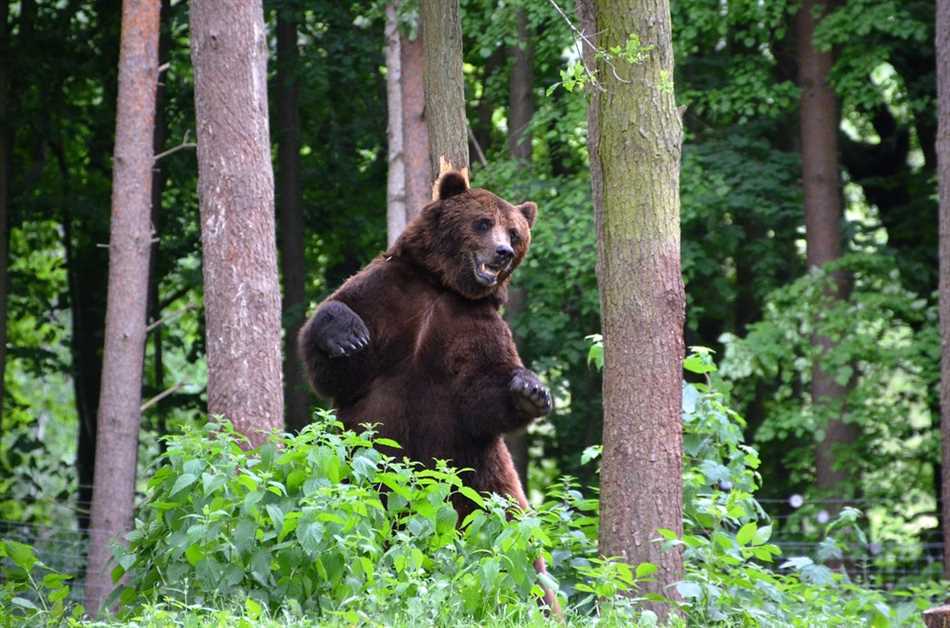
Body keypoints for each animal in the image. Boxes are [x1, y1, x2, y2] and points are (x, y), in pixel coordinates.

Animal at [302, 170, 560, 608]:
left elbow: (483, 394)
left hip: (475, 473)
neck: (444, 287)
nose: (504, 252)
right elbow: (332, 358)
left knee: (512, 539)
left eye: (515, 231)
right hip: (362, 466)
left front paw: (530, 390)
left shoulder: (474, 326)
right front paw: (346, 335)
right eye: (483, 223)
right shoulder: (388, 293)